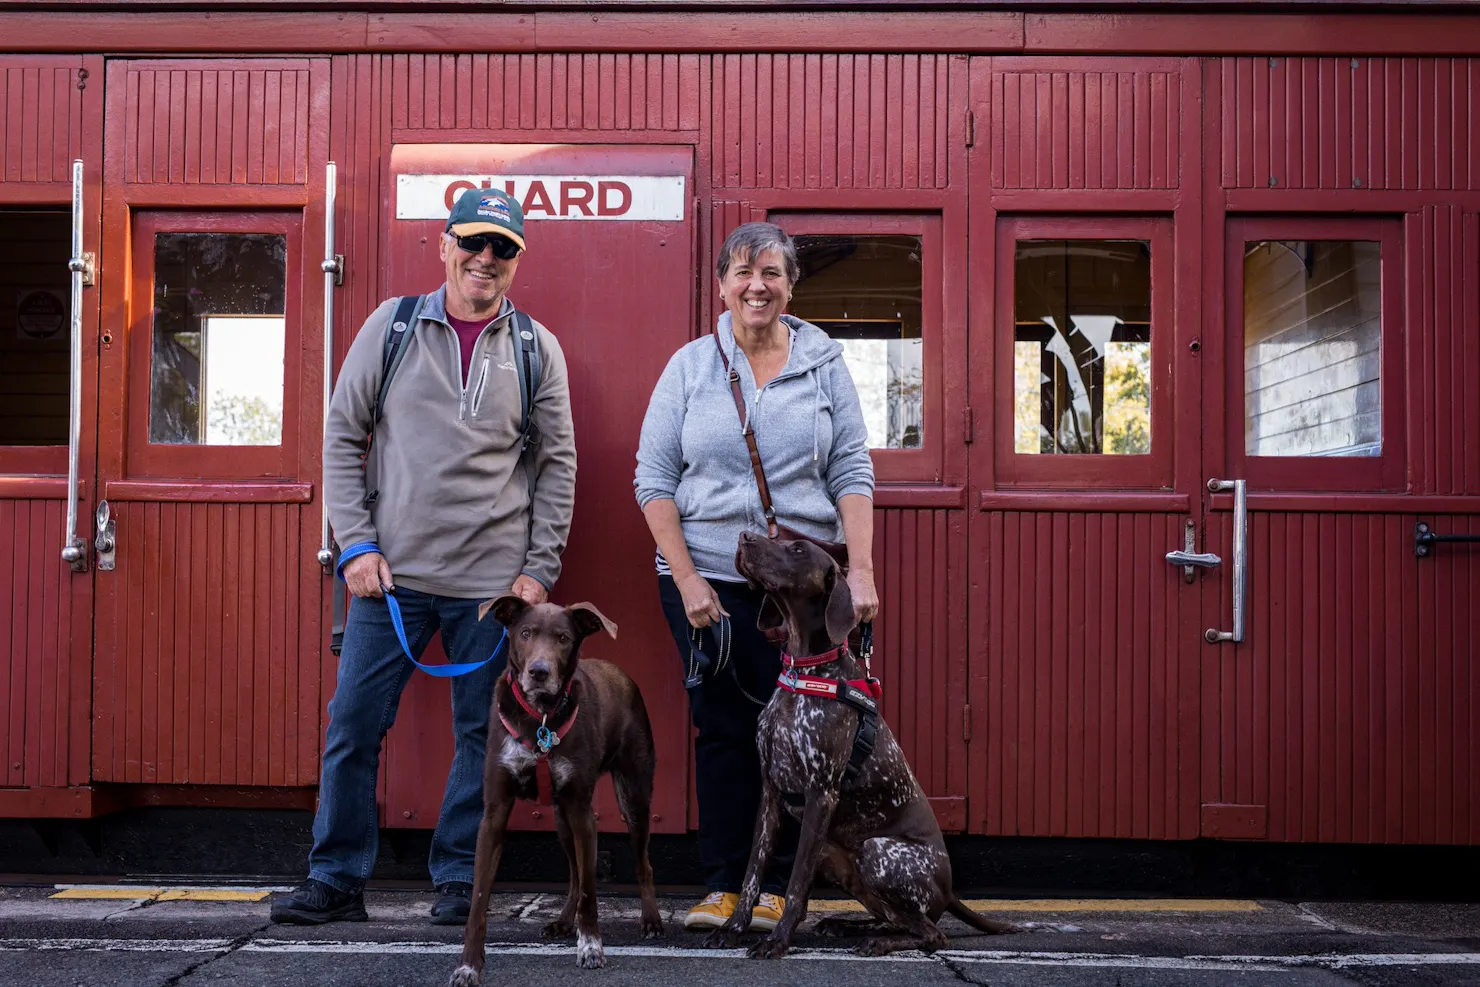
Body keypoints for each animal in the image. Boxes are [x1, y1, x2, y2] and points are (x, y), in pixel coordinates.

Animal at [444, 594, 666, 987]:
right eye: (526, 634)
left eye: (563, 638)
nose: (539, 672)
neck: (540, 717)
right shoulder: (495, 813)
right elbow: (479, 900)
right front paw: (469, 966)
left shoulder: (582, 809)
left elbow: (592, 891)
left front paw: (591, 947)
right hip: (561, 818)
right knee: (575, 874)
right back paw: (564, 921)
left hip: (633, 797)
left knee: (641, 864)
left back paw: (651, 919)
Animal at [704, 529, 1018, 958]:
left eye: (797, 548)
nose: (744, 536)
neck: (806, 669)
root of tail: (949, 891)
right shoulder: (770, 792)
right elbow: (752, 871)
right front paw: (733, 929)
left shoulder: (821, 794)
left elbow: (796, 884)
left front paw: (778, 940)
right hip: (835, 857)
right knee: (898, 918)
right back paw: (845, 925)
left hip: (878, 852)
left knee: (932, 932)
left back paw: (876, 941)